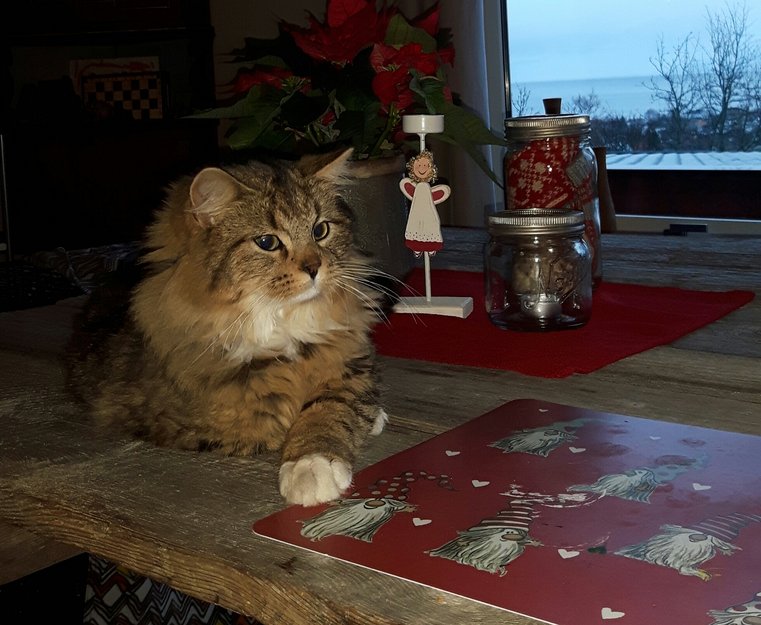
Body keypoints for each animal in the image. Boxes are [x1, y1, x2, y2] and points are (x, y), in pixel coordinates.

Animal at [68, 148, 389, 506]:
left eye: (320, 230)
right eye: (267, 242)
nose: (314, 268)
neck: (282, 320)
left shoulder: (349, 363)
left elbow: (330, 410)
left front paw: (312, 462)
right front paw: (310, 468)